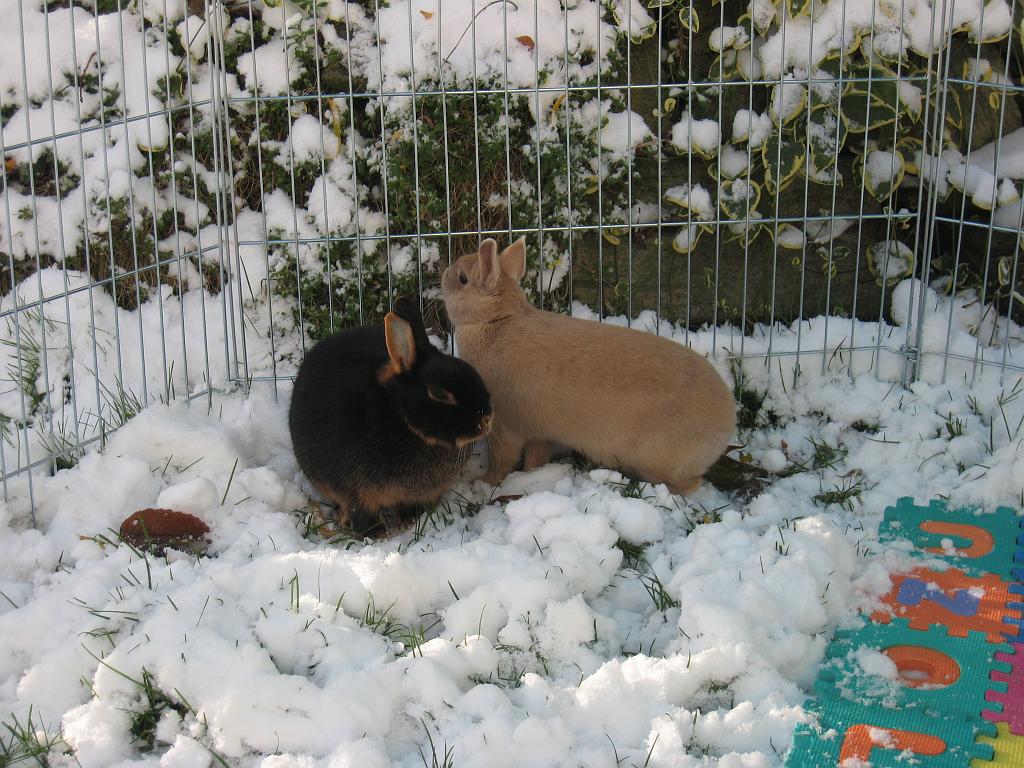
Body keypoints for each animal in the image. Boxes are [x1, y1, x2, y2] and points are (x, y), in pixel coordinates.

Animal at [288, 296, 493, 536]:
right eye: (439, 394)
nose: (487, 418)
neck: (402, 418)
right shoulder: (356, 490)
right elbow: (361, 512)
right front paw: (377, 534)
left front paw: (411, 520)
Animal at [441, 238, 736, 495]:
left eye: (463, 278)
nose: (444, 275)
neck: (494, 320)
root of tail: (727, 422)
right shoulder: (540, 433)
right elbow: (536, 457)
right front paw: (530, 475)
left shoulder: (505, 428)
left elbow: (501, 461)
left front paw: (483, 483)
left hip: (660, 461)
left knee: (690, 484)